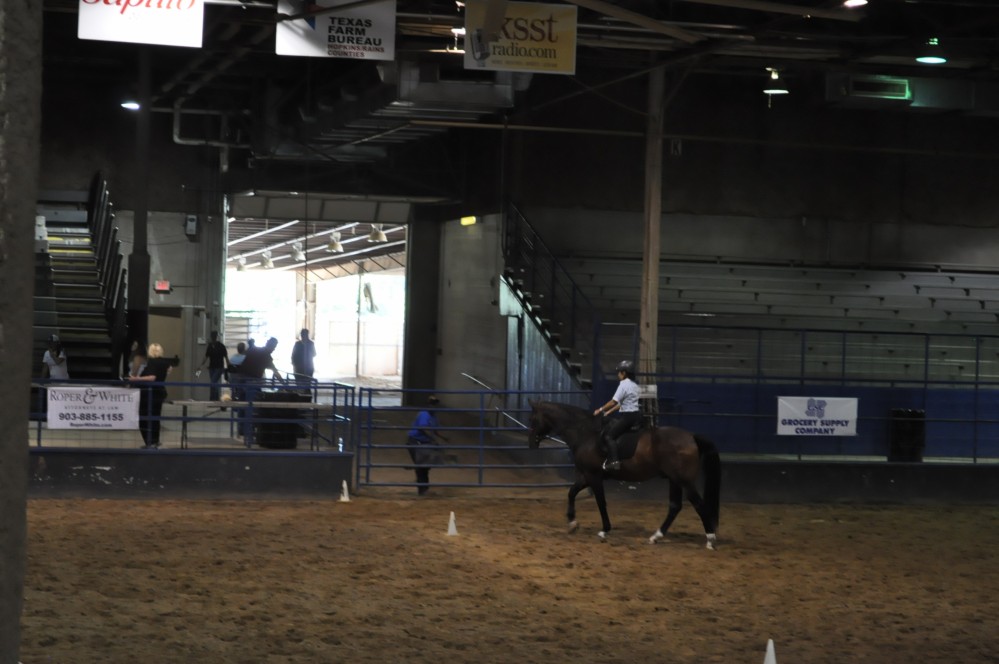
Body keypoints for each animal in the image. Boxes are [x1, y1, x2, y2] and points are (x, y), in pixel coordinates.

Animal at [528, 400, 724, 548]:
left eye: (533, 419)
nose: (531, 444)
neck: (585, 433)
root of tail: (691, 437)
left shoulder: (594, 476)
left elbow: (601, 502)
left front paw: (604, 530)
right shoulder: (586, 476)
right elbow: (571, 492)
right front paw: (572, 523)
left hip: (684, 481)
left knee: (698, 504)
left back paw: (710, 539)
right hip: (674, 480)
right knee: (675, 506)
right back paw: (656, 536)